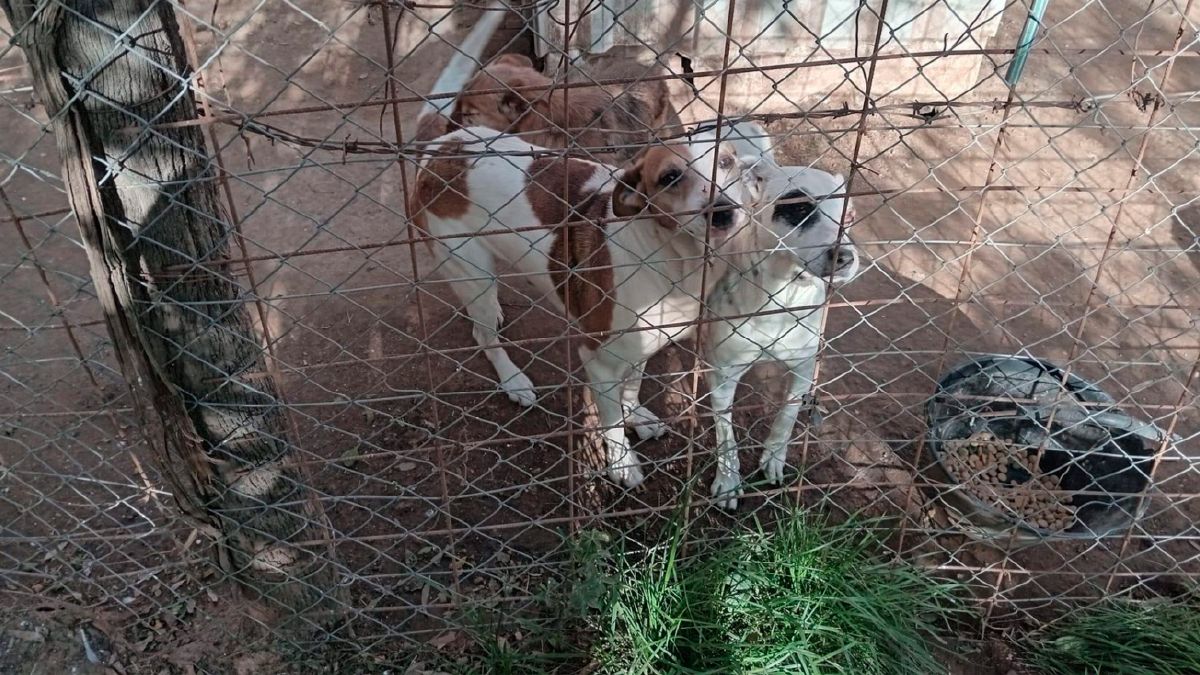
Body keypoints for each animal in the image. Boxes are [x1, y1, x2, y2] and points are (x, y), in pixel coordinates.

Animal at [700, 123, 864, 506]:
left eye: (849, 217)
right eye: (798, 207)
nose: (845, 257)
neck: (782, 295)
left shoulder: (803, 367)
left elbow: (787, 415)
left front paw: (773, 457)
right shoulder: (722, 375)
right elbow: (725, 433)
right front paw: (728, 480)